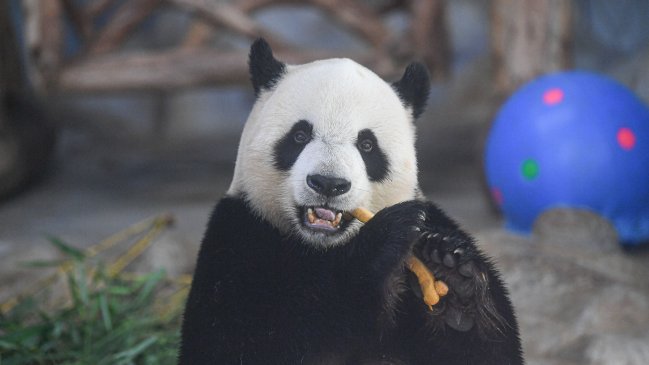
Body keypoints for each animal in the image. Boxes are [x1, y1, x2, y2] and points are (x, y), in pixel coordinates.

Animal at [180, 39, 524, 364]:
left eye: (367, 145)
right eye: (299, 136)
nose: (328, 183)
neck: (323, 247)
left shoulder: (435, 221)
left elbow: (491, 353)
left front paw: (452, 277)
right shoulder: (238, 238)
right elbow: (241, 343)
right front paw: (384, 239)